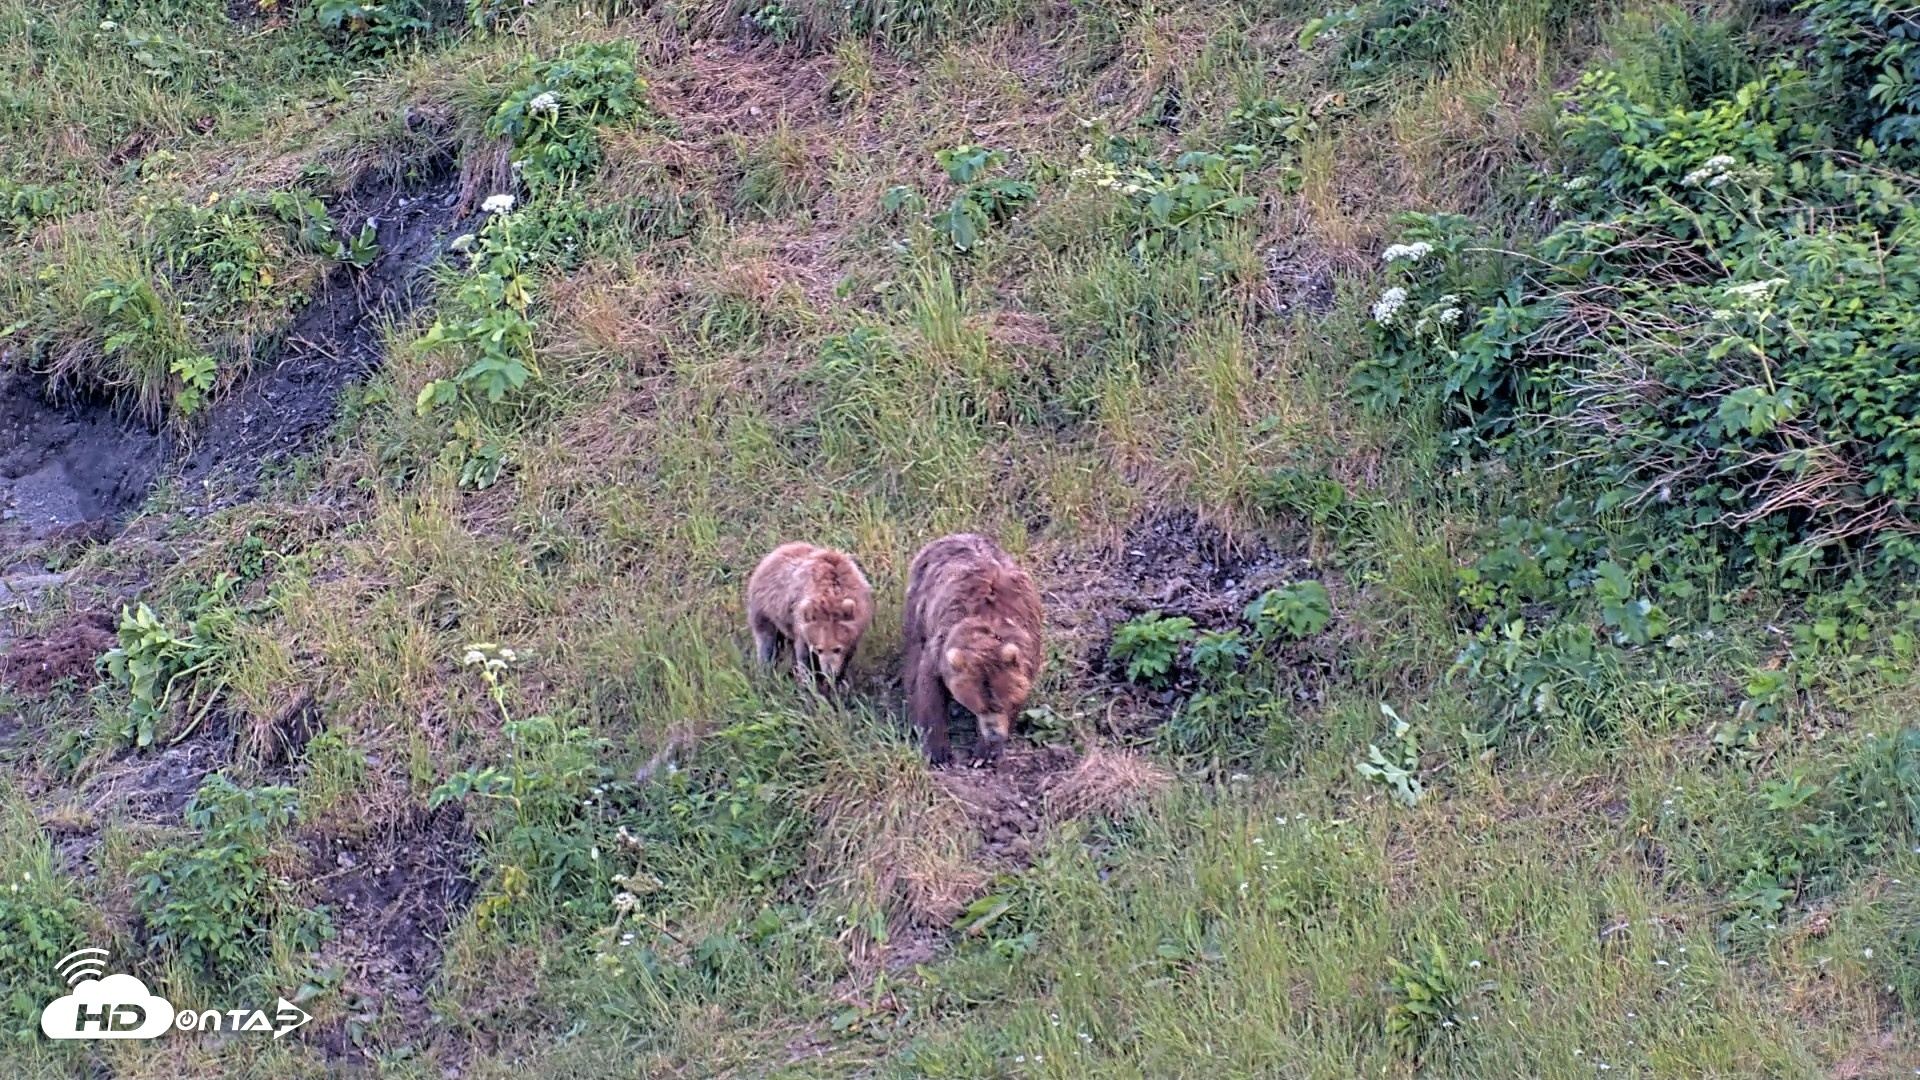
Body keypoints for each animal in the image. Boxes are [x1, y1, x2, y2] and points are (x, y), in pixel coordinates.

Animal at [746, 542, 874, 690]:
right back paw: (766, 674)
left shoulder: (858, 623)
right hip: (766, 610)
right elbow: (803, 655)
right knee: (766, 642)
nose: (829, 673)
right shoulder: (800, 623)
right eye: (819, 649)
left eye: (837, 648)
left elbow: (849, 652)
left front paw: (840, 680)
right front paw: (809, 682)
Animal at [901, 533, 1044, 766]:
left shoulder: (1028, 651)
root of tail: (956, 534)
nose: (993, 734)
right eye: (978, 707)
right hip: (919, 605)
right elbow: (929, 689)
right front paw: (939, 752)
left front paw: (985, 753)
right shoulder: (941, 648)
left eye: (1001, 704)